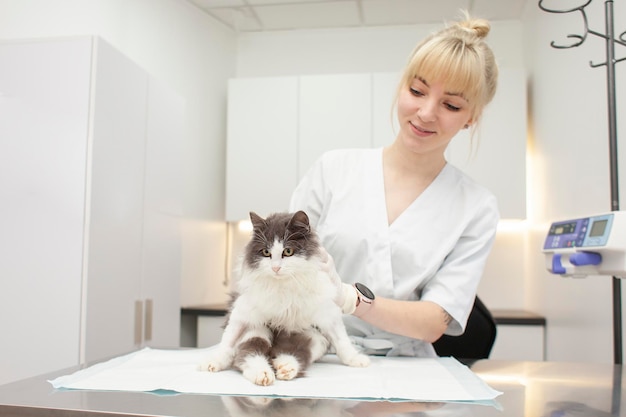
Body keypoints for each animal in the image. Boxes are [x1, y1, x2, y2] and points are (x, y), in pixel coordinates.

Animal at [197, 210, 368, 386]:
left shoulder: (327, 312)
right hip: (258, 330)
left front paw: (355, 359)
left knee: (295, 353)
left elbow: (341, 340)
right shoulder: (243, 312)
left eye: (288, 251)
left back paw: (285, 367)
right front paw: (213, 360)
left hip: (314, 338)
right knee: (247, 355)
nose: (275, 268)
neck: (284, 285)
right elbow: (228, 340)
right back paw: (262, 374)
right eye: (266, 253)